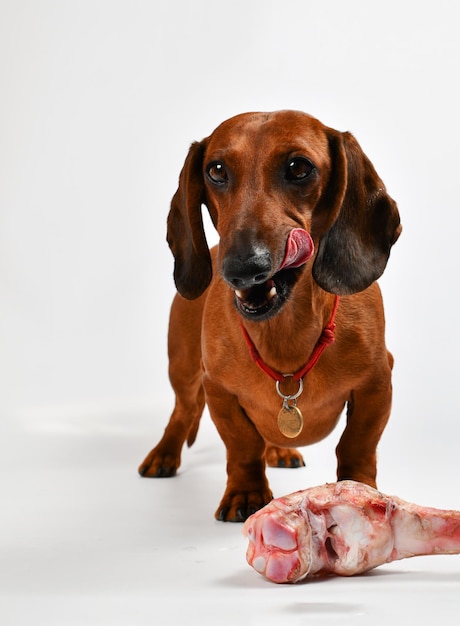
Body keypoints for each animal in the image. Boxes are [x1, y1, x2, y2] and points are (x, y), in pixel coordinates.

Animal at [138, 109, 400, 520]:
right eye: (216, 170)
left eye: (299, 167)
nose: (243, 268)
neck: (286, 333)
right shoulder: (219, 389)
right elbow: (243, 445)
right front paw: (246, 493)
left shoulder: (377, 382)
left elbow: (357, 443)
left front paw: (358, 490)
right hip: (183, 368)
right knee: (182, 411)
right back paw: (163, 454)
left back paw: (279, 447)